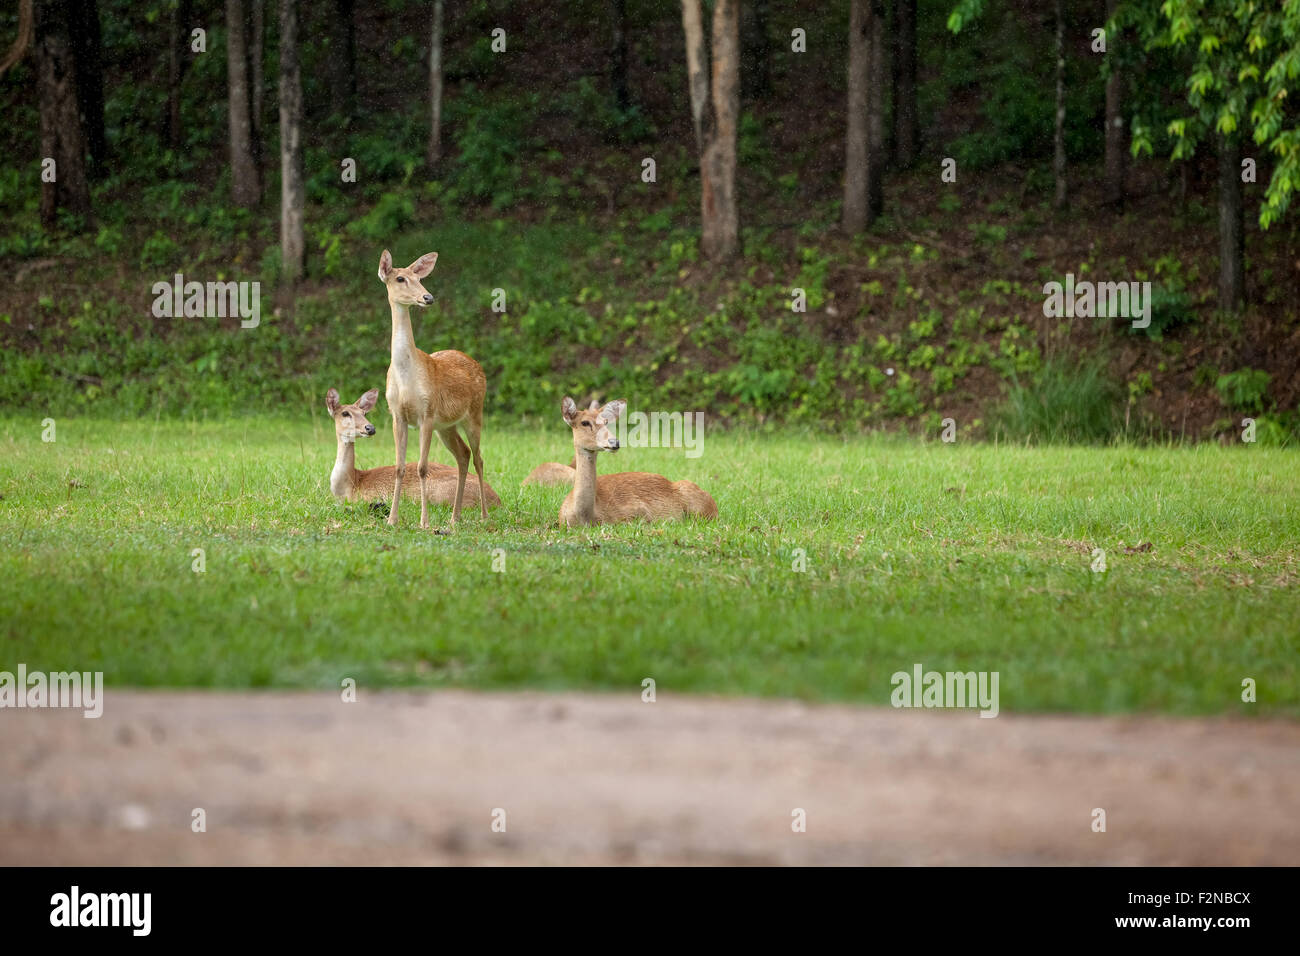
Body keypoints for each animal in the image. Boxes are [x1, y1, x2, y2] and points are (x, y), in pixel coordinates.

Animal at [382, 247, 493, 530]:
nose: (428, 297)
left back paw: (483, 515)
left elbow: (422, 467)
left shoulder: (427, 413)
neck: (406, 377)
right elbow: (399, 467)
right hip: (447, 426)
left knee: (478, 457)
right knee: (463, 455)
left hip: (474, 414)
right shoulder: (397, 415)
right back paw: (455, 516)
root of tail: (478, 364)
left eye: (419, 278)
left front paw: (424, 521)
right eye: (400, 278)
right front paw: (392, 519)